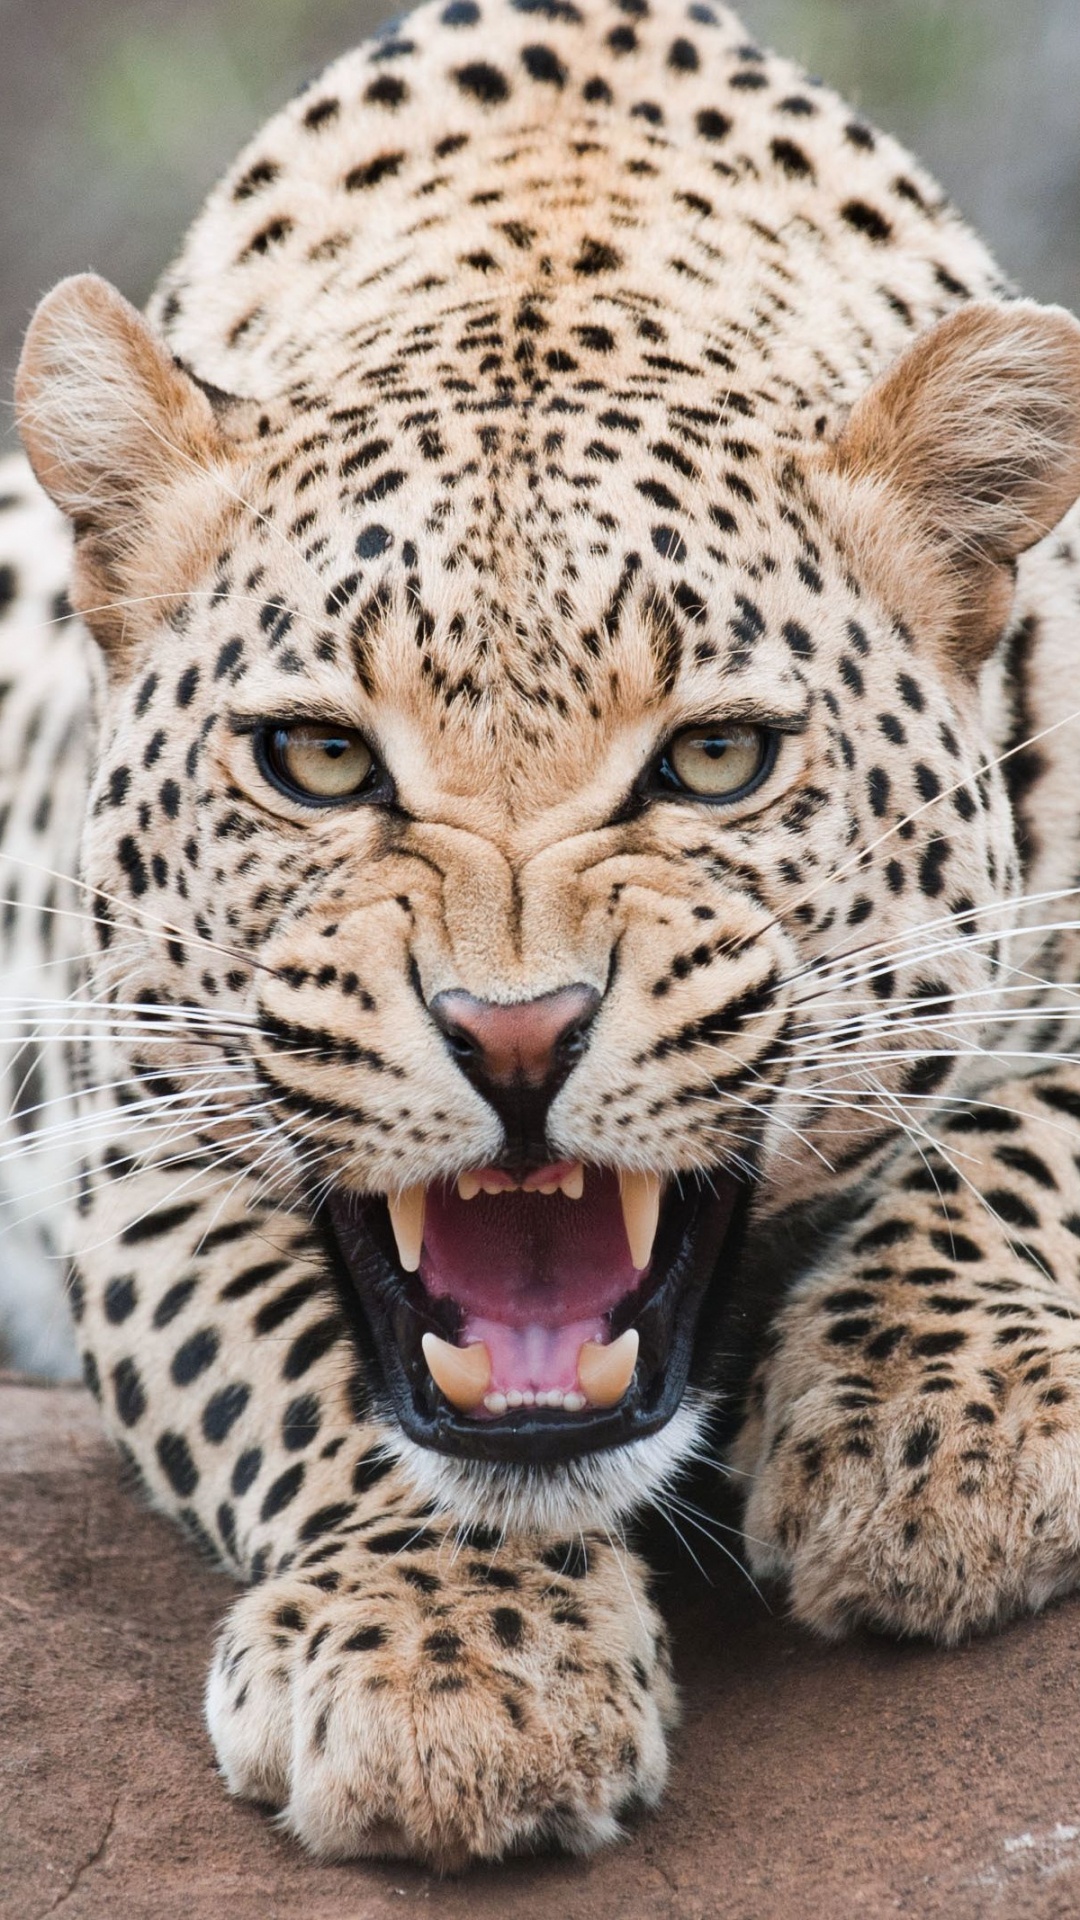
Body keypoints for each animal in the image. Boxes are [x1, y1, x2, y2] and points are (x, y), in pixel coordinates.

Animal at [5, 0, 1080, 1871]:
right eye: (319, 759)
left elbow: (1029, 1130)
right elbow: (284, 1363)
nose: (516, 1038)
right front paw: (447, 1660)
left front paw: (936, 1431)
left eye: (716, 761)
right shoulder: (119, 1116)